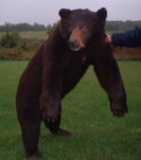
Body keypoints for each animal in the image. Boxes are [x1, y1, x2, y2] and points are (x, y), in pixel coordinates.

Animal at [16, 7, 127, 158]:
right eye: (69, 28)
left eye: (85, 27)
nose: (73, 42)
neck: (80, 50)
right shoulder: (56, 47)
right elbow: (52, 73)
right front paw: (50, 112)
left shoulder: (99, 46)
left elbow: (108, 70)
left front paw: (118, 107)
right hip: (29, 96)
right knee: (30, 124)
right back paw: (33, 152)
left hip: (55, 103)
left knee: (56, 117)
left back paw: (61, 130)